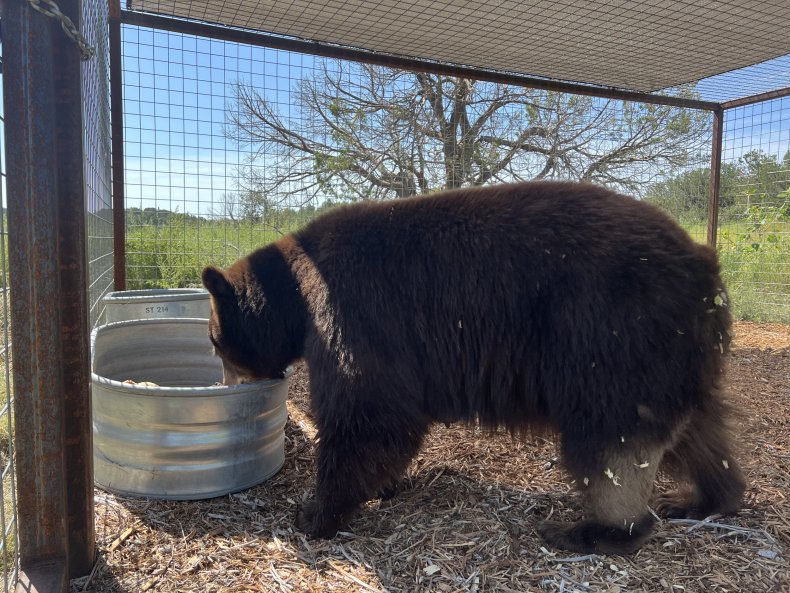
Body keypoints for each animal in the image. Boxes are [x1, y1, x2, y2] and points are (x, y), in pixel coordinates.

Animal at [201, 182, 744, 556]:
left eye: (213, 340)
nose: (222, 382)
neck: (298, 292)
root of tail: (704, 261)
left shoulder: (355, 311)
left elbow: (367, 412)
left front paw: (314, 511)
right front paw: (382, 486)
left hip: (610, 335)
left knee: (611, 441)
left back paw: (595, 529)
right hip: (673, 355)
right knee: (698, 432)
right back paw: (704, 498)